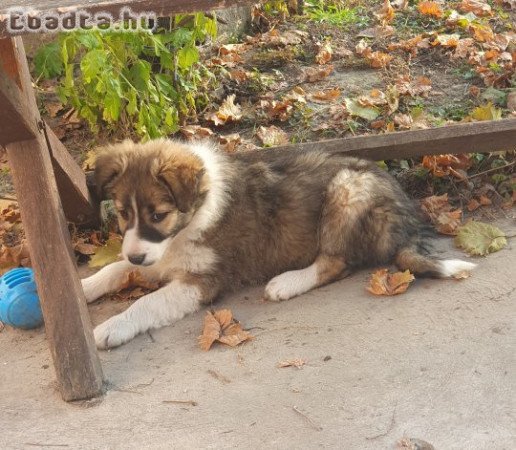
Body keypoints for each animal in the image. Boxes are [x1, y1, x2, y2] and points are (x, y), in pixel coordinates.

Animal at [83, 139, 476, 350]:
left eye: (159, 214)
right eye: (123, 213)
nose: (137, 255)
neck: (191, 218)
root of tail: (406, 212)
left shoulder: (202, 281)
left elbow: (147, 302)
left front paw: (111, 327)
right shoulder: (156, 257)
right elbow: (115, 268)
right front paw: (84, 286)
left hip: (347, 189)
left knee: (336, 263)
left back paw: (286, 283)